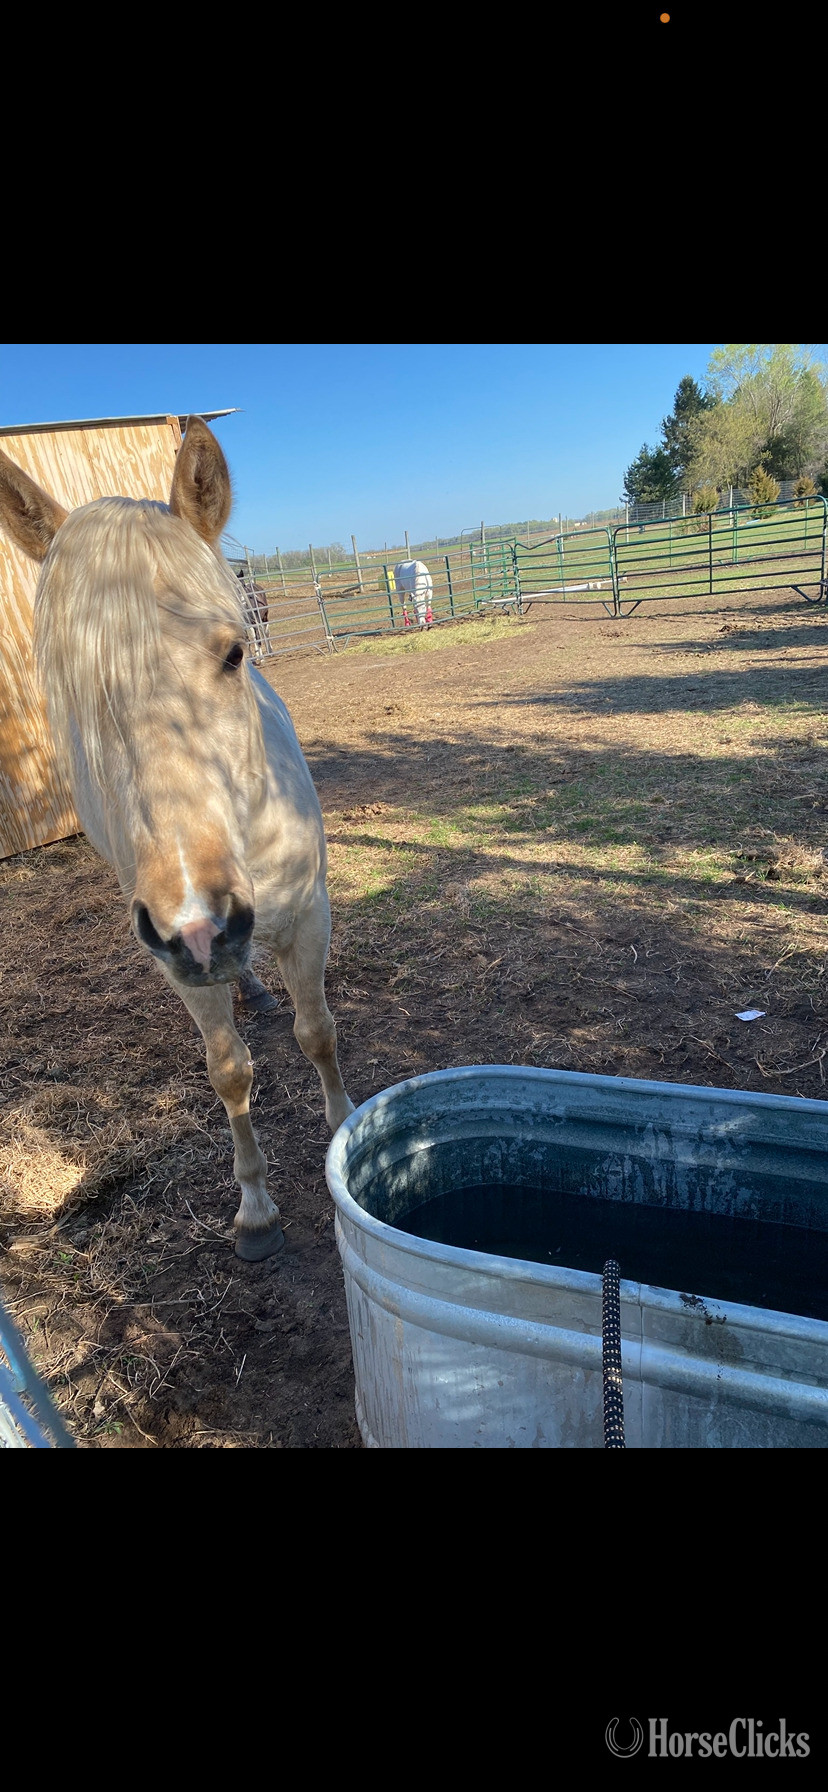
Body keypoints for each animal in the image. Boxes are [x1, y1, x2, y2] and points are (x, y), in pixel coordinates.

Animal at [0, 417, 354, 1261]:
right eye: (66, 693)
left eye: (233, 653)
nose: (200, 925)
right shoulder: (170, 957)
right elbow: (228, 1072)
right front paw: (255, 1206)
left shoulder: (311, 918)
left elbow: (318, 1032)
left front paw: (341, 1128)